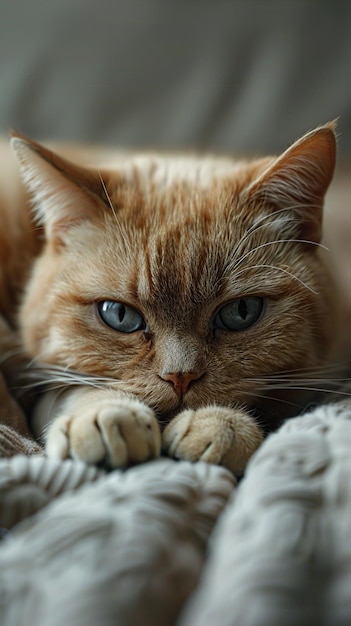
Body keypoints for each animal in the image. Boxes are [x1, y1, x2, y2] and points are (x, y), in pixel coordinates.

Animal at [0, 122, 346, 472]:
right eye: (119, 316)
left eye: (241, 312)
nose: (180, 377)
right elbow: (71, 389)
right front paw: (105, 413)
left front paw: (222, 424)